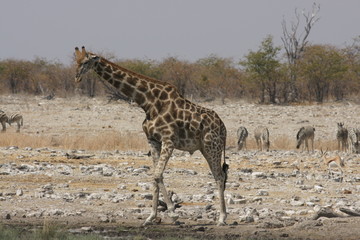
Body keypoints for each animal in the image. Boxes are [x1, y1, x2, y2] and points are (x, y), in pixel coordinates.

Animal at [74, 46, 229, 225]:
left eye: (86, 62)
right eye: (76, 61)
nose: (76, 77)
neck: (148, 102)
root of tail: (224, 128)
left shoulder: (169, 140)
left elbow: (157, 174)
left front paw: (173, 213)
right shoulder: (153, 140)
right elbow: (155, 177)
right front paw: (151, 217)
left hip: (212, 147)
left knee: (219, 176)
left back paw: (222, 218)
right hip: (205, 148)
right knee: (220, 175)